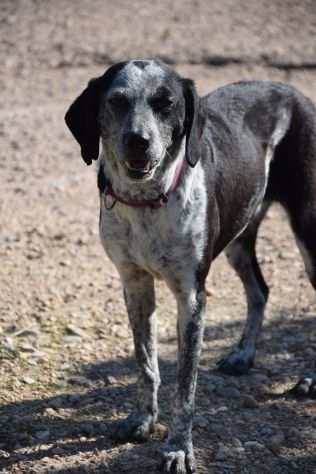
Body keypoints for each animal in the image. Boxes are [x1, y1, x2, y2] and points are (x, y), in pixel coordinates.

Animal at [65, 60, 316, 474]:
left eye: (166, 103)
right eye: (116, 101)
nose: (138, 140)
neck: (147, 202)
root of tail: (294, 93)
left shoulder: (191, 297)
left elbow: (185, 386)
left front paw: (179, 448)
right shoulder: (134, 285)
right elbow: (146, 364)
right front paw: (143, 420)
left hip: (309, 235)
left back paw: (310, 378)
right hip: (238, 239)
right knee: (260, 291)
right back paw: (243, 355)